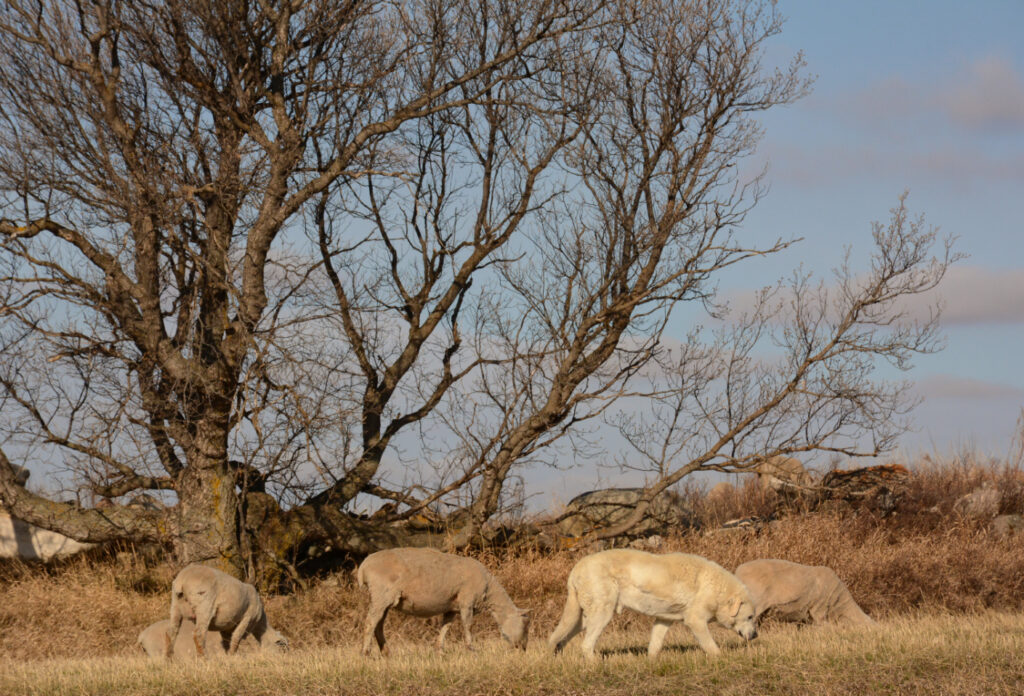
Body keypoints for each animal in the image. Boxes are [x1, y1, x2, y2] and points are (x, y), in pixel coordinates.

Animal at [358, 544, 532, 655]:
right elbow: (468, 625)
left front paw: (439, 650)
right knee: (370, 622)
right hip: (382, 594)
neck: (489, 591)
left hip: (383, 599)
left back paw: (386, 652)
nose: (523, 649)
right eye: (525, 625)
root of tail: (363, 567)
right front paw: (472, 649)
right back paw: (365, 652)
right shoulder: (466, 601)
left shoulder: (451, 607)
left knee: (378, 625)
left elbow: (445, 626)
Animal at [548, 548, 757, 659]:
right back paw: (595, 662)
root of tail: (575, 569)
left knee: (562, 636)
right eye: (749, 617)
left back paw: (558, 654)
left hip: (583, 617)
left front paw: (651, 659)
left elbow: (656, 642)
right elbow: (710, 644)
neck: (717, 588)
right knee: (586, 644)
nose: (755, 635)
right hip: (602, 614)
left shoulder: (664, 619)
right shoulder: (695, 621)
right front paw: (721, 657)